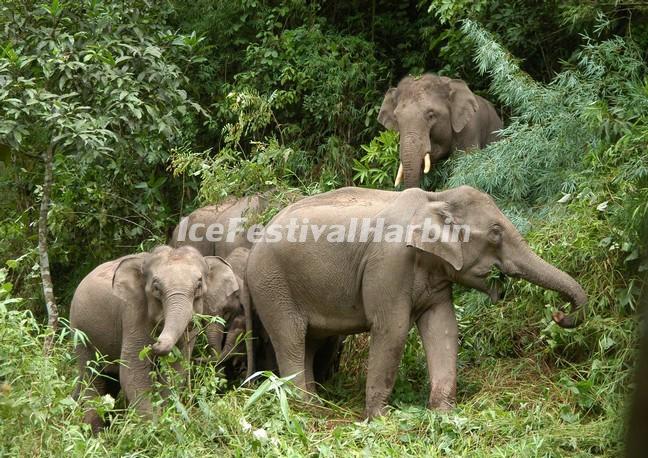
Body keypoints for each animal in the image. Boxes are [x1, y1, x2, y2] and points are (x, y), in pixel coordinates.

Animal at [68, 245, 246, 432]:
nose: (156, 343)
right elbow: (133, 371)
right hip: (81, 332)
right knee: (92, 377)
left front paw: (168, 422)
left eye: (198, 285)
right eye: (156, 287)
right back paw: (94, 432)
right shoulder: (133, 312)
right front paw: (154, 429)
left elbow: (176, 370)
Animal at [247, 185, 588, 418]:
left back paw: (316, 405)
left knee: (310, 341)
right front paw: (380, 419)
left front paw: (443, 413)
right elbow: (393, 330)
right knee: (290, 339)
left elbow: (444, 327)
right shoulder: (388, 264)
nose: (559, 315)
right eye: (495, 233)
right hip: (272, 285)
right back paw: (302, 408)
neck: (437, 197)